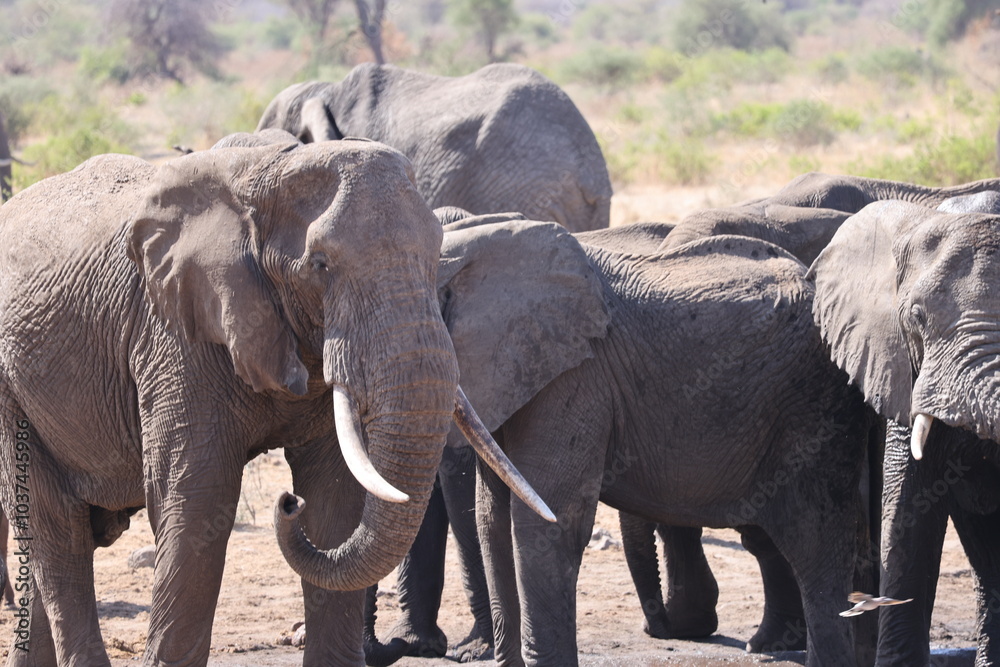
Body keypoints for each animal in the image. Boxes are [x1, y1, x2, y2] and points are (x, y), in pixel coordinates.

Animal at [0, 138, 545, 666]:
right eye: (320, 265)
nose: (287, 502)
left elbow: (333, 499)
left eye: (437, 261)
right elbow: (199, 500)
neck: (271, 170)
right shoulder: (176, 335)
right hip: (11, 391)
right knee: (58, 530)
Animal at [421, 219, 875, 666]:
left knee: (815, 546)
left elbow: (548, 522)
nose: (657, 626)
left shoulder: (576, 378)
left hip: (813, 408)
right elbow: (492, 520)